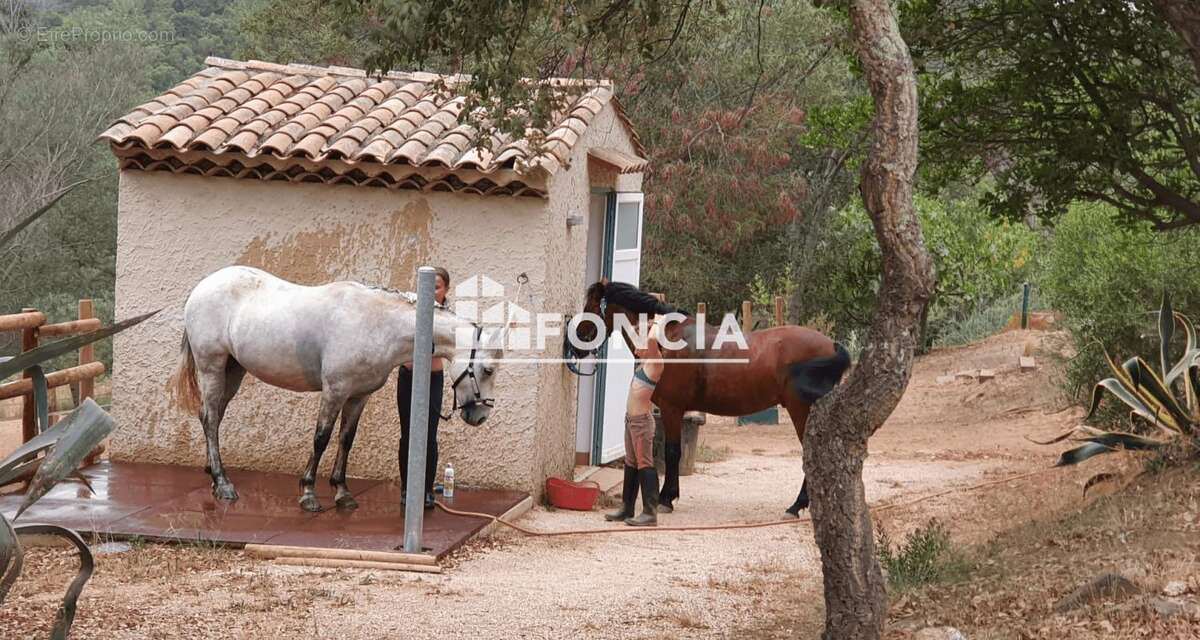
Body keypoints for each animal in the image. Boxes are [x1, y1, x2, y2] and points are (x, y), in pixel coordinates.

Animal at [170, 262, 501, 509]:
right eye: (487, 370)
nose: (480, 416)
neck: (377, 324)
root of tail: (201, 288)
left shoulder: (358, 396)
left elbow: (346, 439)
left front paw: (342, 492)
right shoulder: (335, 391)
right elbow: (321, 438)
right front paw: (308, 493)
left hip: (233, 370)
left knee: (212, 417)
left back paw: (213, 475)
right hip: (211, 367)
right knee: (210, 416)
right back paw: (223, 483)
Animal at [573, 279, 849, 513]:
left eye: (590, 306)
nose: (576, 344)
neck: (665, 341)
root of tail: (831, 345)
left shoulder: (672, 408)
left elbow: (672, 452)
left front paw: (665, 499)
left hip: (801, 411)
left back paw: (797, 506)